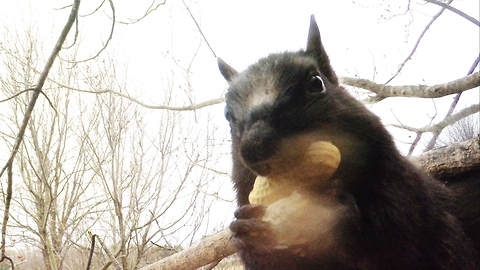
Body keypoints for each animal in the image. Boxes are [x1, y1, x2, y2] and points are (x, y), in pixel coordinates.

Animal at [218, 14, 480, 270]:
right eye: (227, 115)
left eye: (316, 83)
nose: (255, 148)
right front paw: (248, 234)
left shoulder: (410, 203)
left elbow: (396, 243)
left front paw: (332, 207)